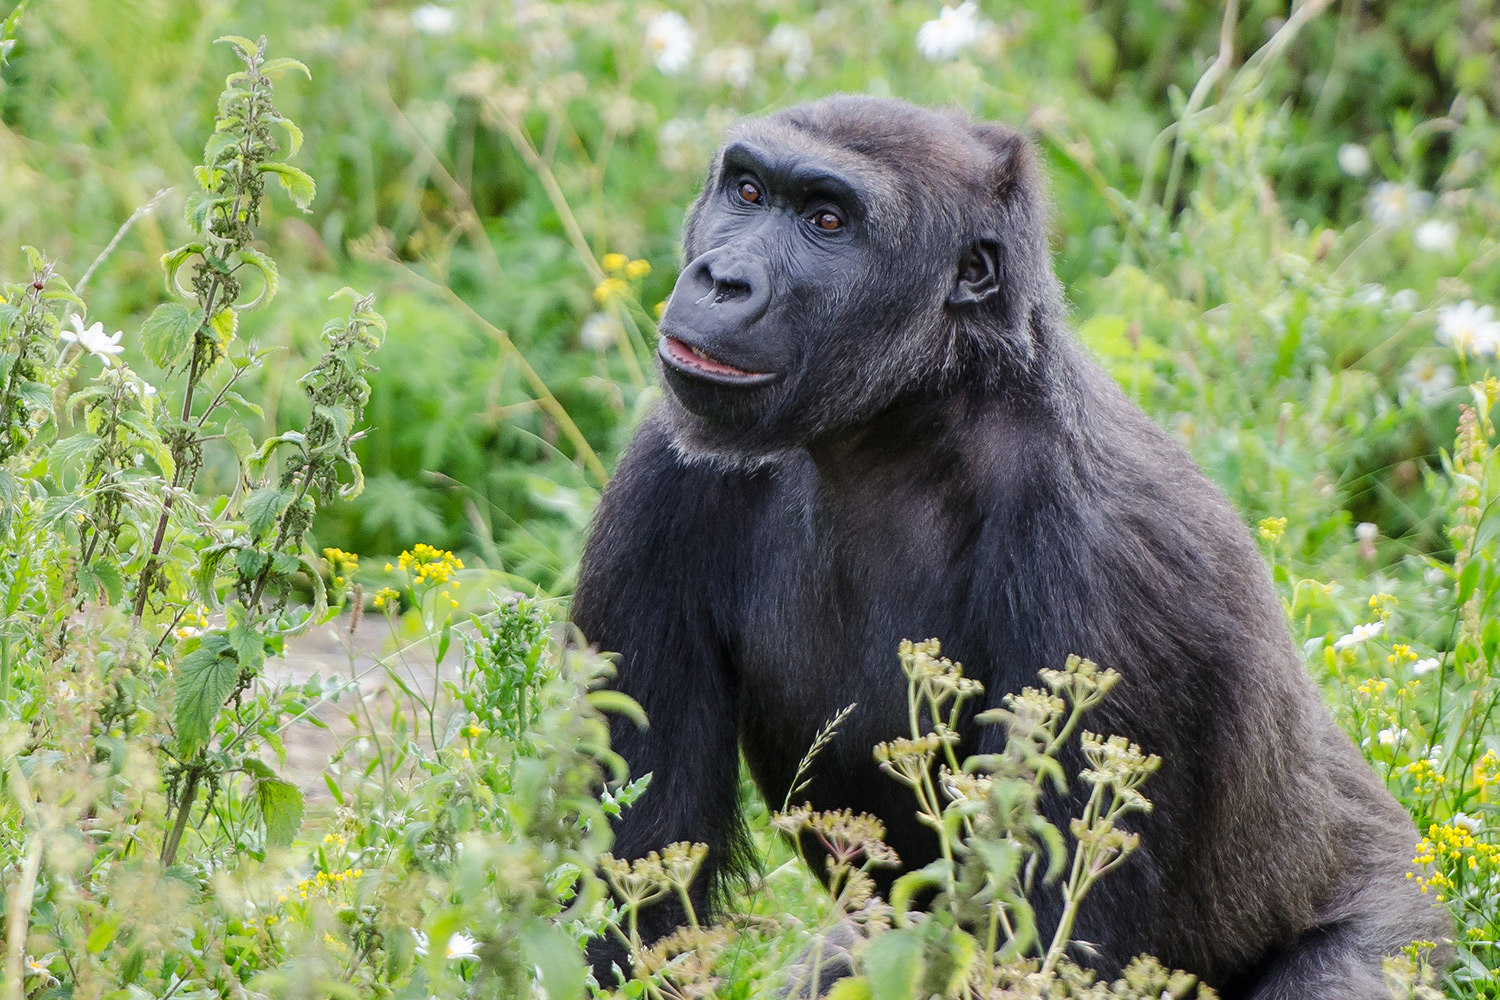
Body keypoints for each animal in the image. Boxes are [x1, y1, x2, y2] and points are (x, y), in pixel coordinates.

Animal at [567, 95, 1446, 1000]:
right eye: (746, 191)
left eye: (826, 221)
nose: (722, 278)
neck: (913, 419)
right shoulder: (661, 472)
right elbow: (632, 896)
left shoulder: (1100, 553)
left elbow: (1032, 940)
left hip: (1406, 917)